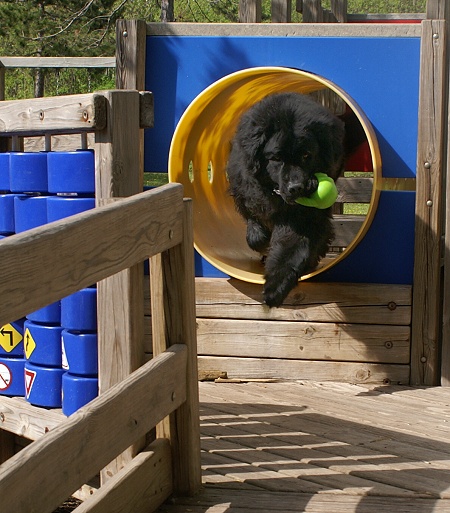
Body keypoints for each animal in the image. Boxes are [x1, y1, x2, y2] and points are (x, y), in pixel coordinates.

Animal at [227, 91, 346, 308]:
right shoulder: (245, 193)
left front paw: (275, 288)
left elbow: (291, 249)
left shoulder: (304, 220)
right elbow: (255, 233)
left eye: (307, 155)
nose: (295, 187)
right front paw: (262, 243)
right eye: (276, 158)